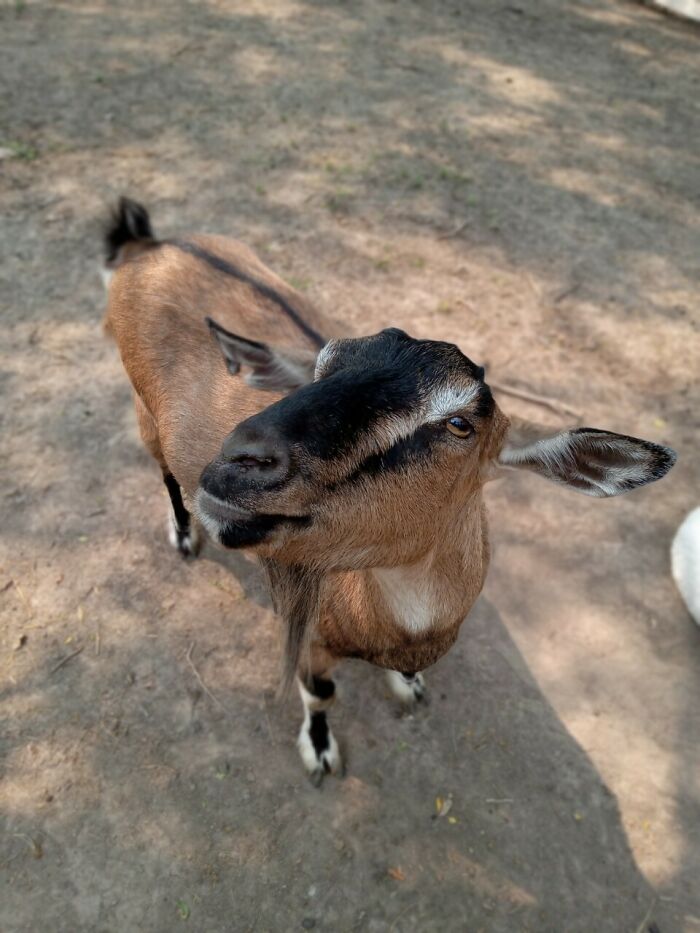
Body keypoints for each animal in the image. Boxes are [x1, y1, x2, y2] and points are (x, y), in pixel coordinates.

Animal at [103, 197, 677, 784]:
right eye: (320, 368)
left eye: (460, 423)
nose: (238, 462)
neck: (399, 627)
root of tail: (152, 245)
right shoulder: (310, 636)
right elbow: (320, 695)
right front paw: (321, 750)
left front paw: (408, 685)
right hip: (146, 416)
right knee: (166, 476)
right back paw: (183, 535)